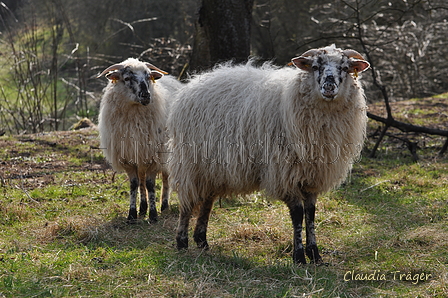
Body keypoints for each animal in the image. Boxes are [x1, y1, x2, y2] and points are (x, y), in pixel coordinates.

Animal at [98, 57, 182, 221]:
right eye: (127, 78)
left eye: (149, 76)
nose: (146, 95)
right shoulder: (128, 157)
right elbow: (134, 184)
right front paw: (132, 214)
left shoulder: (155, 156)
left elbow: (150, 184)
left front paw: (153, 215)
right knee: (141, 179)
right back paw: (143, 207)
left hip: (165, 153)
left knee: (165, 178)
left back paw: (164, 205)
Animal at [168, 44, 372, 264]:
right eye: (316, 66)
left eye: (345, 68)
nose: (328, 86)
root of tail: (192, 83)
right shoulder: (285, 172)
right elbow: (298, 213)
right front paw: (299, 256)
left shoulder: (313, 175)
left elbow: (310, 213)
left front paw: (315, 254)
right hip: (191, 162)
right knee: (187, 203)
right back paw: (182, 241)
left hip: (213, 168)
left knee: (206, 202)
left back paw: (202, 241)